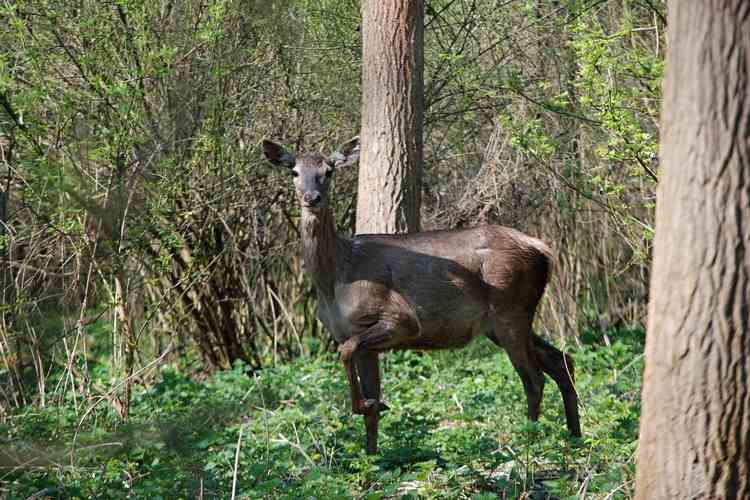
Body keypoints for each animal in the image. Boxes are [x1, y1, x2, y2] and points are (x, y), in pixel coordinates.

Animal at [262, 136, 580, 454]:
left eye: (328, 171)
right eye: (294, 171)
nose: (311, 197)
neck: (336, 277)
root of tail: (544, 250)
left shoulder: (400, 319)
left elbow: (347, 351)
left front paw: (369, 405)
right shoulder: (353, 336)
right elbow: (367, 397)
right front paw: (371, 451)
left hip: (510, 309)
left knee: (534, 379)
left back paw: (527, 444)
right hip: (502, 322)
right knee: (561, 360)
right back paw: (575, 437)